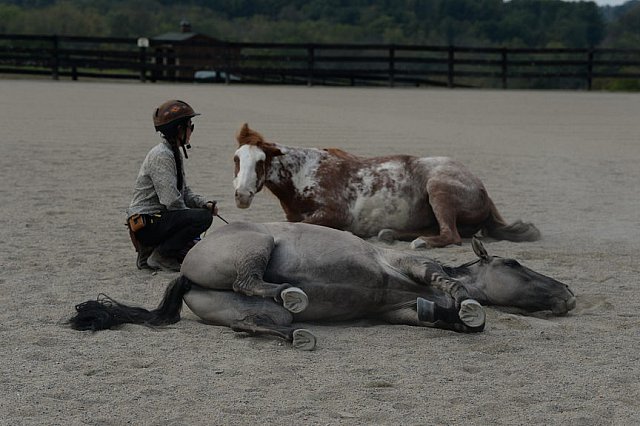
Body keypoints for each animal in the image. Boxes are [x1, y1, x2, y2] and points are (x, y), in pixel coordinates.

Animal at [70, 221, 576, 352]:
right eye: (514, 262)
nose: (569, 295)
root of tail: (185, 271)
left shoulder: (395, 310)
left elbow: (433, 314)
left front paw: (448, 313)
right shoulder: (412, 264)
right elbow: (449, 286)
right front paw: (467, 306)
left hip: (241, 310)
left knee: (252, 321)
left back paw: (296, 333)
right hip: (255, 246)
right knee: (251, 280)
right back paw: (291, 294)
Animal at [232, 123, 536, 248]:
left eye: (260, 161)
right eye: (236, 159)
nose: (242, 195)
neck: (305, 173)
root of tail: (483, 190)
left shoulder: (335, 213)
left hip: (438, 188)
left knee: (451, 235)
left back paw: (420, 243)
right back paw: (390, 234)